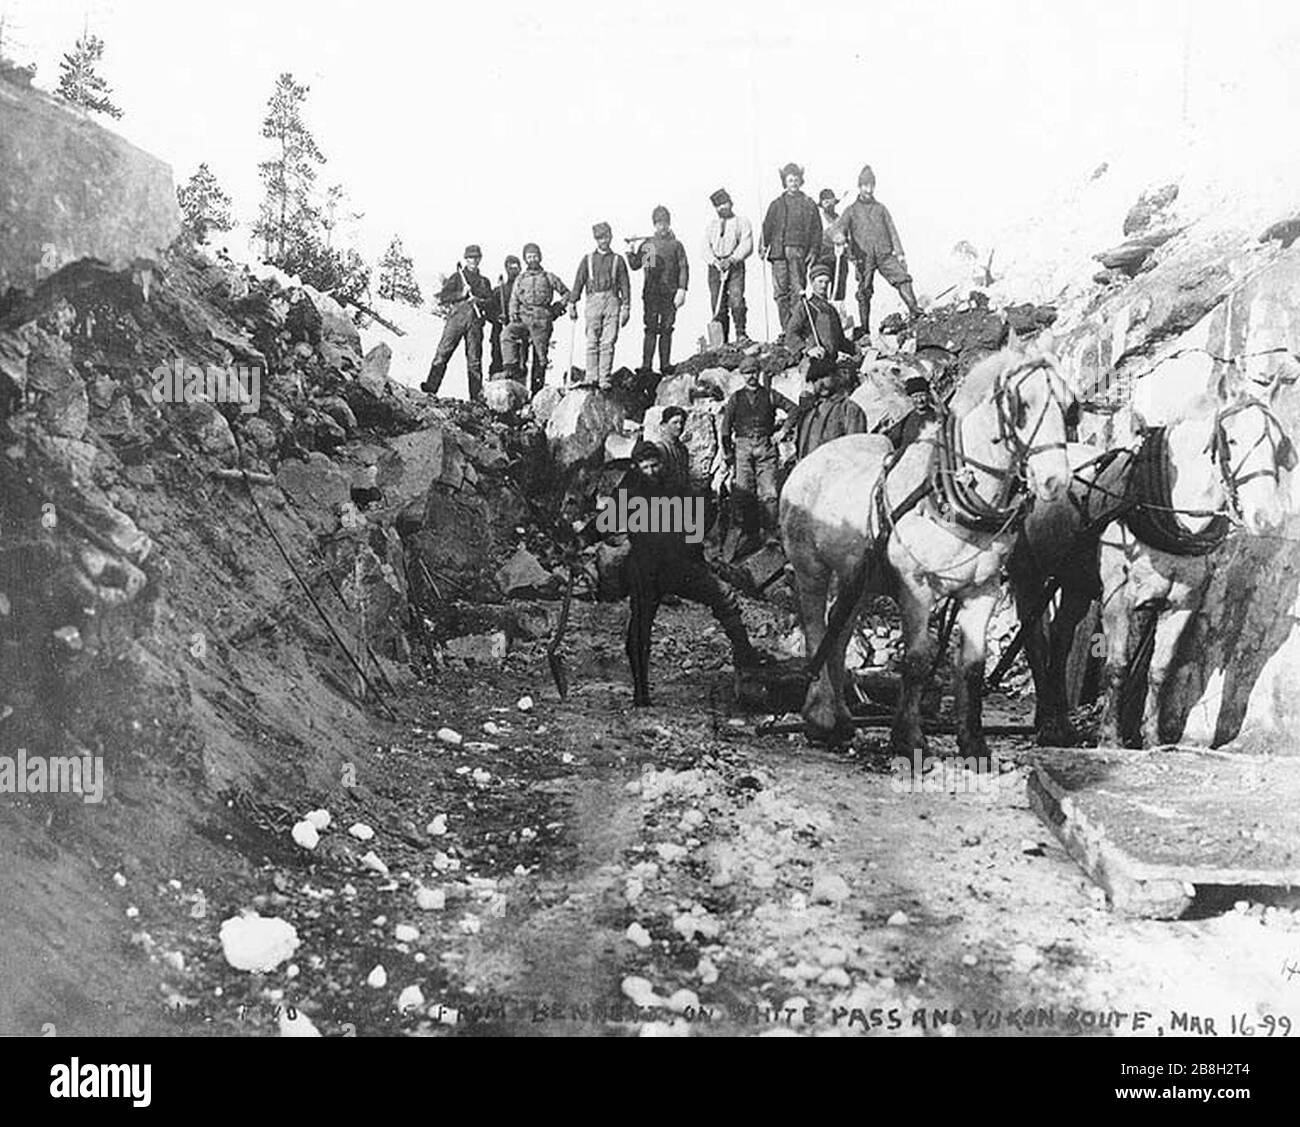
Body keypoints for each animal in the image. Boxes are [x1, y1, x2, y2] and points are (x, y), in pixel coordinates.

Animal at [780, 348, 1076, 753]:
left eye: (1069, 407)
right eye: (1022, 405)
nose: (1055, 480)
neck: (951, 497)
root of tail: (808, 463)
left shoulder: (982, 589)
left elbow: (972, 664)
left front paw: (972, 740)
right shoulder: (915, 586)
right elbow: (917, 660)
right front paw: (908, 736)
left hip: (858, 579)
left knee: (838, 632)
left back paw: (841, 718)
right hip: (811, 567)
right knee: (815, 629)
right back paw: (819, 715)